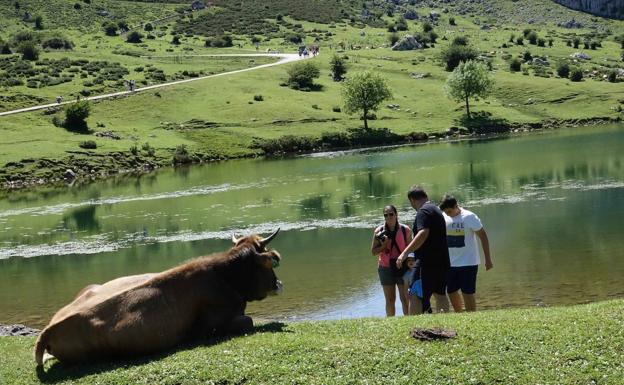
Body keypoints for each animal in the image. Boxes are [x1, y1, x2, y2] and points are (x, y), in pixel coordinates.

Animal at [34, 228, 282, 366]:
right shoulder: (212, 326)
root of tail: (48, 329)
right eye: (271, 263)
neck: (224, 276)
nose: (279, 284)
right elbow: (248, 321)